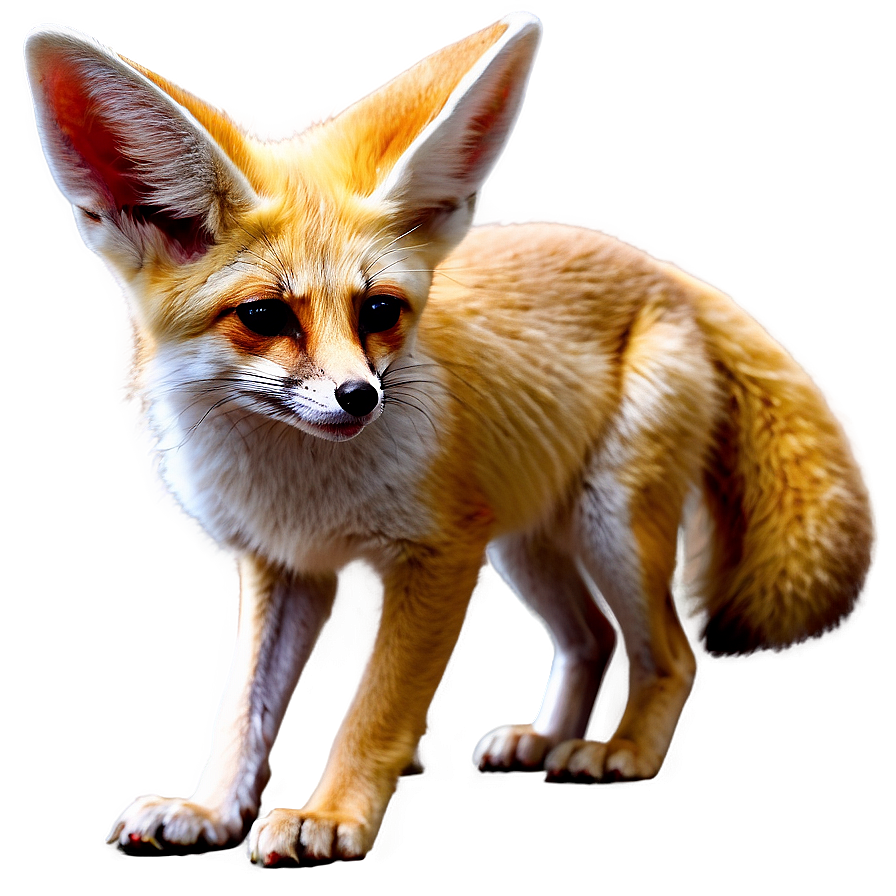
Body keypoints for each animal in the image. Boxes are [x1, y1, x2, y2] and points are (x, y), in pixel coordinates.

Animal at [24, 12, 875, 866]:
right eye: (264, 316)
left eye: (379, 310)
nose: (360, 397)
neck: (301, 489)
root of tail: (659, 267)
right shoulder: (286, 566)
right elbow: (243, 710)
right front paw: (208, 806)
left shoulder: (439, 556)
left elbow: (376, 710)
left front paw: (329, 813)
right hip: (528, 543)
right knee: (591, 637)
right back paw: (542, 738)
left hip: (609, 528)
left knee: (671, 655)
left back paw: (621, 750)